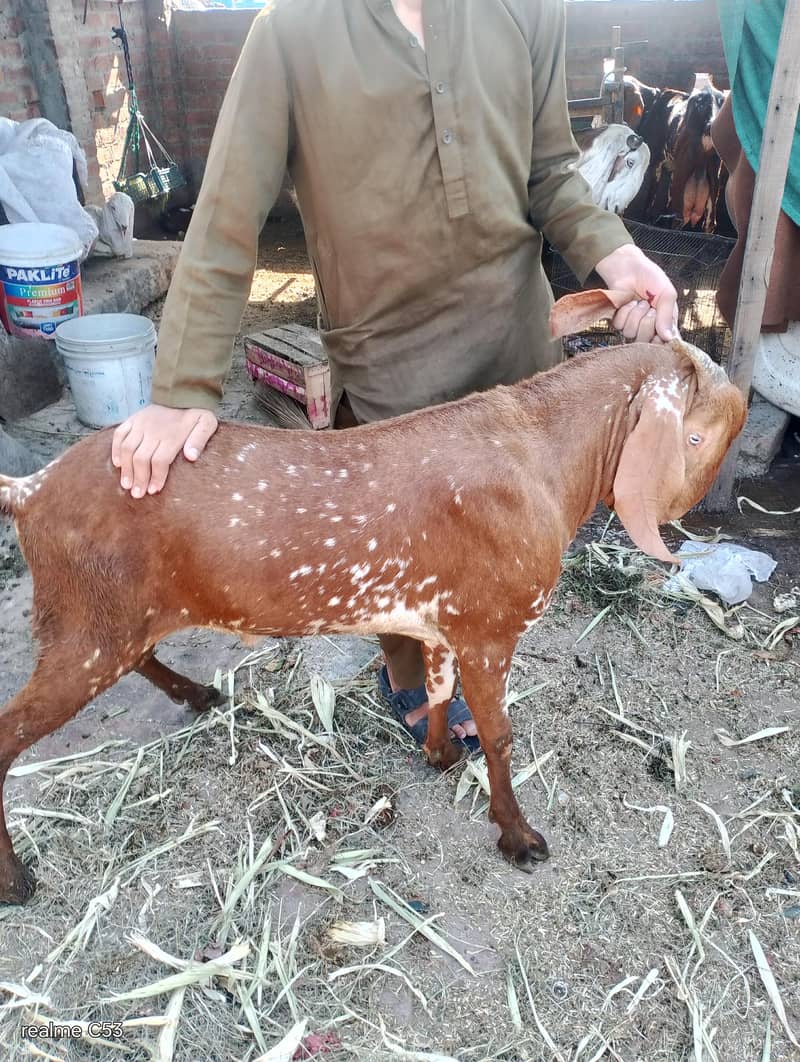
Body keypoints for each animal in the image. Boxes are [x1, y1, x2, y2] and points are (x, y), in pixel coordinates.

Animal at [0, 291, 747, 905]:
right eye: (697, 435)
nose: (687, 510)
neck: (542, 457)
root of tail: (30, 489)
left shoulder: (442, 620)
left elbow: (440, 691)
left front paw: (440, 755)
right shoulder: (490, 625)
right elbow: (500, 735)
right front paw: (518, 838)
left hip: (110, 619)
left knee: (137, 657)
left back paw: (198, 694)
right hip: (85, 624)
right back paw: (18, 881)